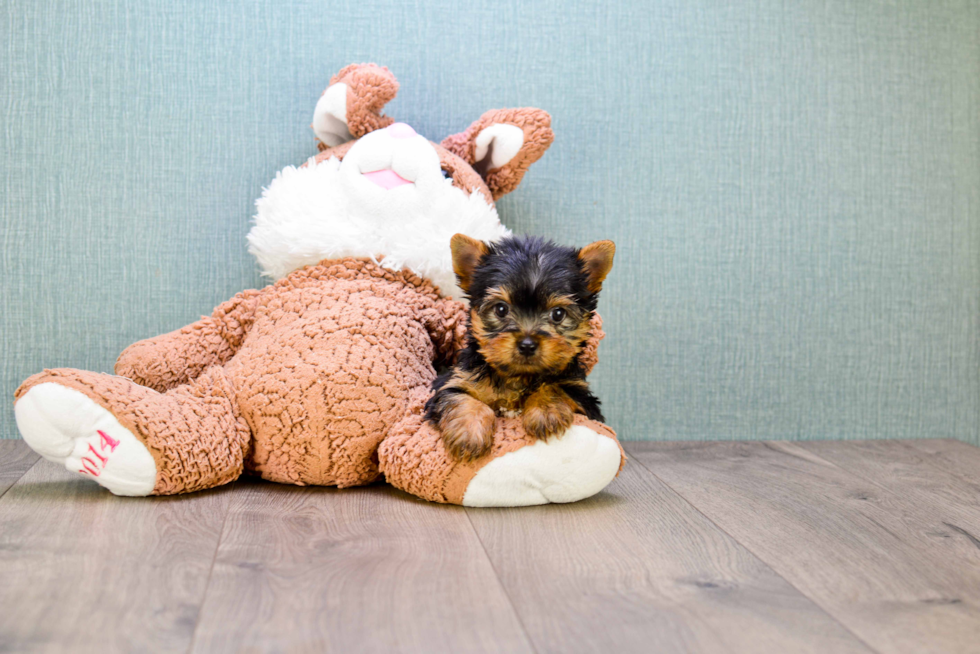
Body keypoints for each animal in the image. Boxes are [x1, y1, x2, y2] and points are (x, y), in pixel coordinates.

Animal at [424, 236, 616, 462]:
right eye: (501, 309)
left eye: (558, 314)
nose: (527, 345)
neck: (518, 376)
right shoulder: (455, 380)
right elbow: (460, 397)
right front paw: (469, 434)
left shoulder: (582, 394)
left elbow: (555, 386)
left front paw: (546, 412)